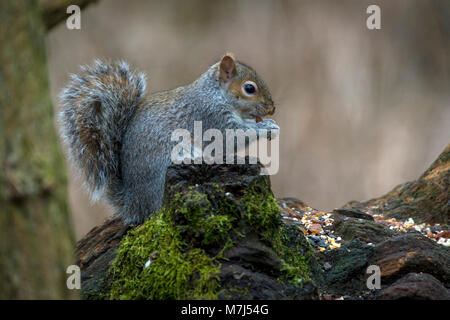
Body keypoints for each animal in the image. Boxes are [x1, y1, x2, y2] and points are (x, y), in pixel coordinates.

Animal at [59, 53, 278, 225]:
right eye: (249, 88)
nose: (272, 108)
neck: (216, 94)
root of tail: (134, 203)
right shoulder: (210, 117)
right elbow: (231, 137)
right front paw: (267, 127)